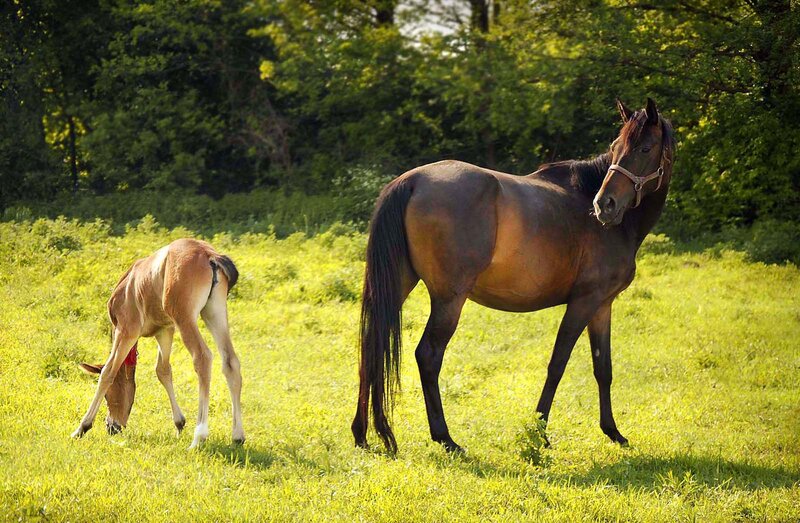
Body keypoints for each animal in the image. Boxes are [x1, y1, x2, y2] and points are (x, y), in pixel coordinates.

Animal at [72, 238, 245, 448]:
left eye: (107, 396)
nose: (112, 427)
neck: (128, 287)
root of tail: (210, 255)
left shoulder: (127, 330)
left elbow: (108, 371)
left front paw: (82, 427)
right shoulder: (165, 330)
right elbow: (162, 370)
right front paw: (179, 423)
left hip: (185, 318)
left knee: (202, 357)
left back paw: (199, 437)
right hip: (214, 313)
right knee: (230, 361)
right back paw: (237, 435)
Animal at [352, 98, 675, 453]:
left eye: (644, 148)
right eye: (616, 148)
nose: (605, 204)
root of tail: (412, 181)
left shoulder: (602, 306)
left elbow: (603, 369)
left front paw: (613, 431)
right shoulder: (584, 302)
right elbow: (557, 364)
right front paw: (539, 432)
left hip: (399, 285)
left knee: (371, 346)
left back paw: (361, 433)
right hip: (449, 299)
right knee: (428, 355)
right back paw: (445, 437)